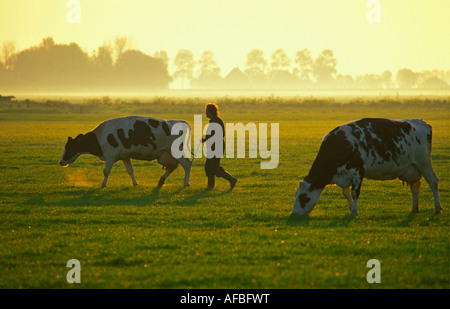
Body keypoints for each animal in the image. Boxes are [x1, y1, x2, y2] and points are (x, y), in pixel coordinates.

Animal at [60, 115, 192, 188]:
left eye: (70, 147)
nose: (61, 161)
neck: (100, 136)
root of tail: (178, 122)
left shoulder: (110, 156)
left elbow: (106, 171)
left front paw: (103, 185)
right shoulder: (125, 156)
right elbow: (130, 170)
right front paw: (135, 184)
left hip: (176, 152)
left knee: (187, 164)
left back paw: (185, 183)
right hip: (167, 154)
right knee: (173, 167)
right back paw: (161, 181)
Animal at [292, 116, 442, 215]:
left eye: (303, 198)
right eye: (296, 195)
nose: (294, 214)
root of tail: (421, 122)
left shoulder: (358, 172)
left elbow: (354, 193)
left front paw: (354, 212)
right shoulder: (343, 174)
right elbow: (346, 193)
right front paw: (351, 209)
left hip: (424, 163)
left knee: (433, 182)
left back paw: (437, 208)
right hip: (410, 169)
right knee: (415, 187)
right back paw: (414, 209)